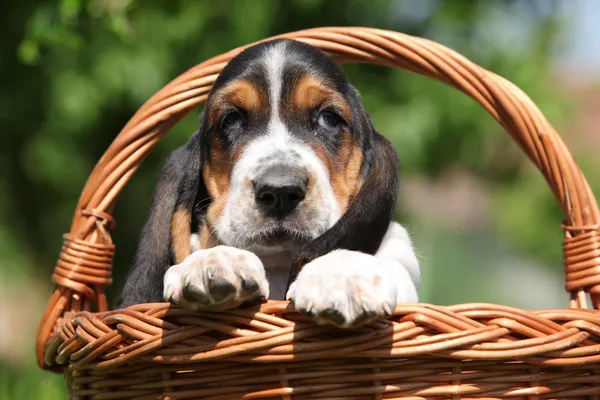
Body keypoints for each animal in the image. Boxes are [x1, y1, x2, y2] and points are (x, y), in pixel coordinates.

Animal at [119, 39, 420, 328]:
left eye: (329, 118)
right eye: (231, 118)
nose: (280, 191)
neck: (279, 262)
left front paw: (340, 274)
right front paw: (214, 260)